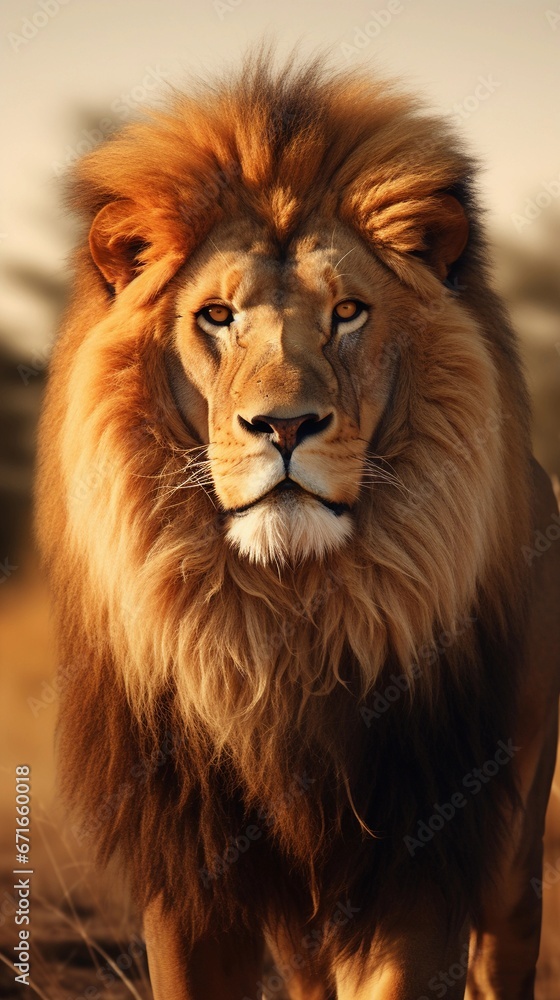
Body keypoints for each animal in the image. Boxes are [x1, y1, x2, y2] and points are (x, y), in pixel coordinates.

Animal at [36, 54, 560, 998]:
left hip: (510, 857)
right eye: (216, 316)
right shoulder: (189, 875)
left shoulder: (417, 860)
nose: (284, 427)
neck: (287, 624)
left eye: (348, 312)